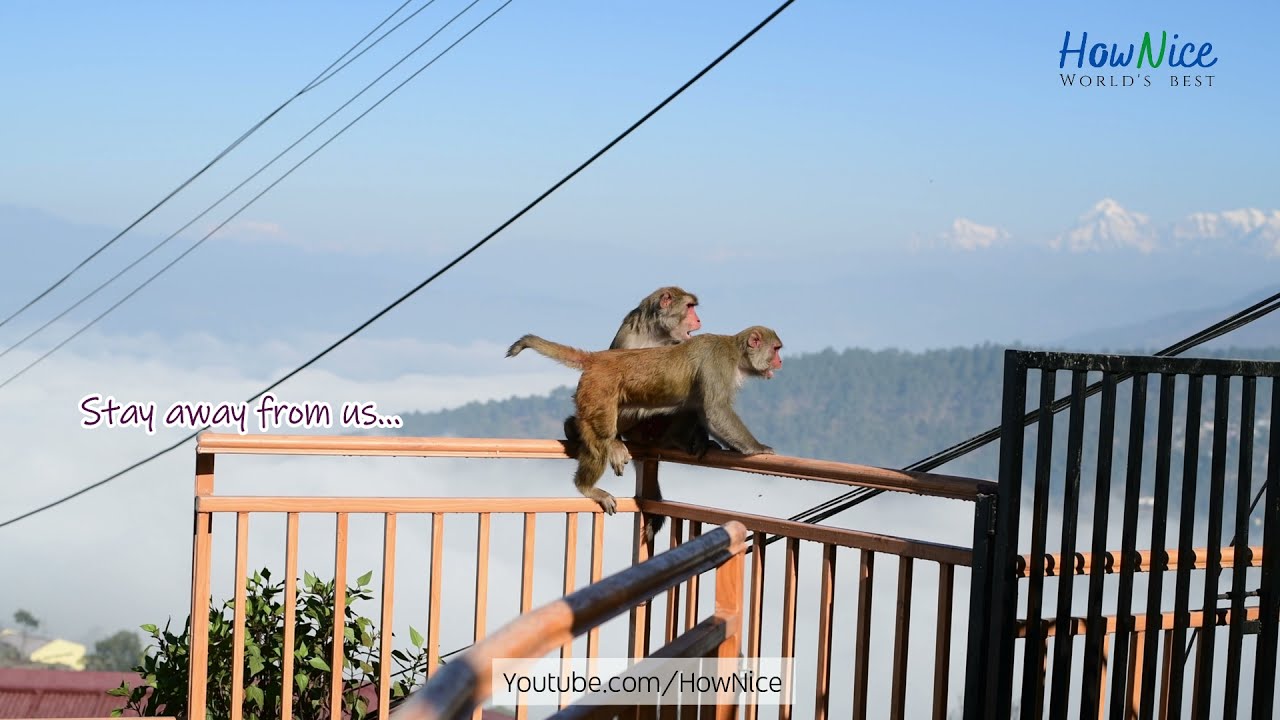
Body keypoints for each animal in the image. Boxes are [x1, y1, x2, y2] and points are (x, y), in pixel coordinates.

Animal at [508, 326, 783, 536]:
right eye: (776, 349)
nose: (780, 362)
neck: (735, 352)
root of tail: (599, 358)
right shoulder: (718, 364)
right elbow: (715, 410)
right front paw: (757, 448)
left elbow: (697, 407)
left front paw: (691, 442)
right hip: (598, 390)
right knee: (600, 437)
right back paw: (587, 485)